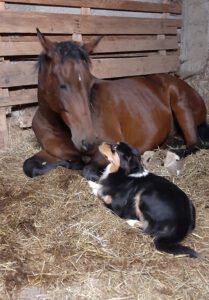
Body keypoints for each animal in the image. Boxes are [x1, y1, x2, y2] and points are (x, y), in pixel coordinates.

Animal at [23, 29, 209, 180]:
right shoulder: (50, 152)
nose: (89, 141)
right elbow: (29, 166)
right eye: (62, 84)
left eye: (89, 83)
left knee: (195, 144)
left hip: (181, 103)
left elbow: (89, 170)